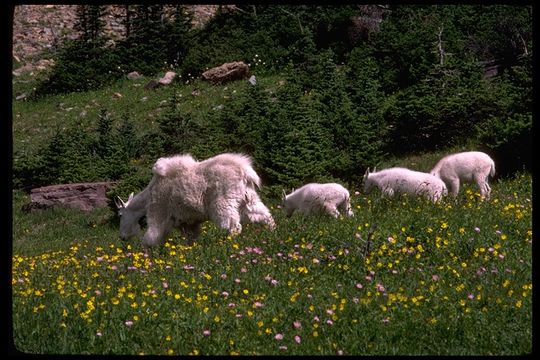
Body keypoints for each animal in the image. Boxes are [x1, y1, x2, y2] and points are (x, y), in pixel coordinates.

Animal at [114, 152, 274, 248]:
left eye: (120, 215)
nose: (122, 237)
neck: (148, 196)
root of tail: (246, 172)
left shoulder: (158, 211)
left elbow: (152, 235)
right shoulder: (187, 222)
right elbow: (191, 239)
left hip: (224, 203)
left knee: (232, 227)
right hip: (249, 199)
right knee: (264, 215)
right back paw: (273, 235)